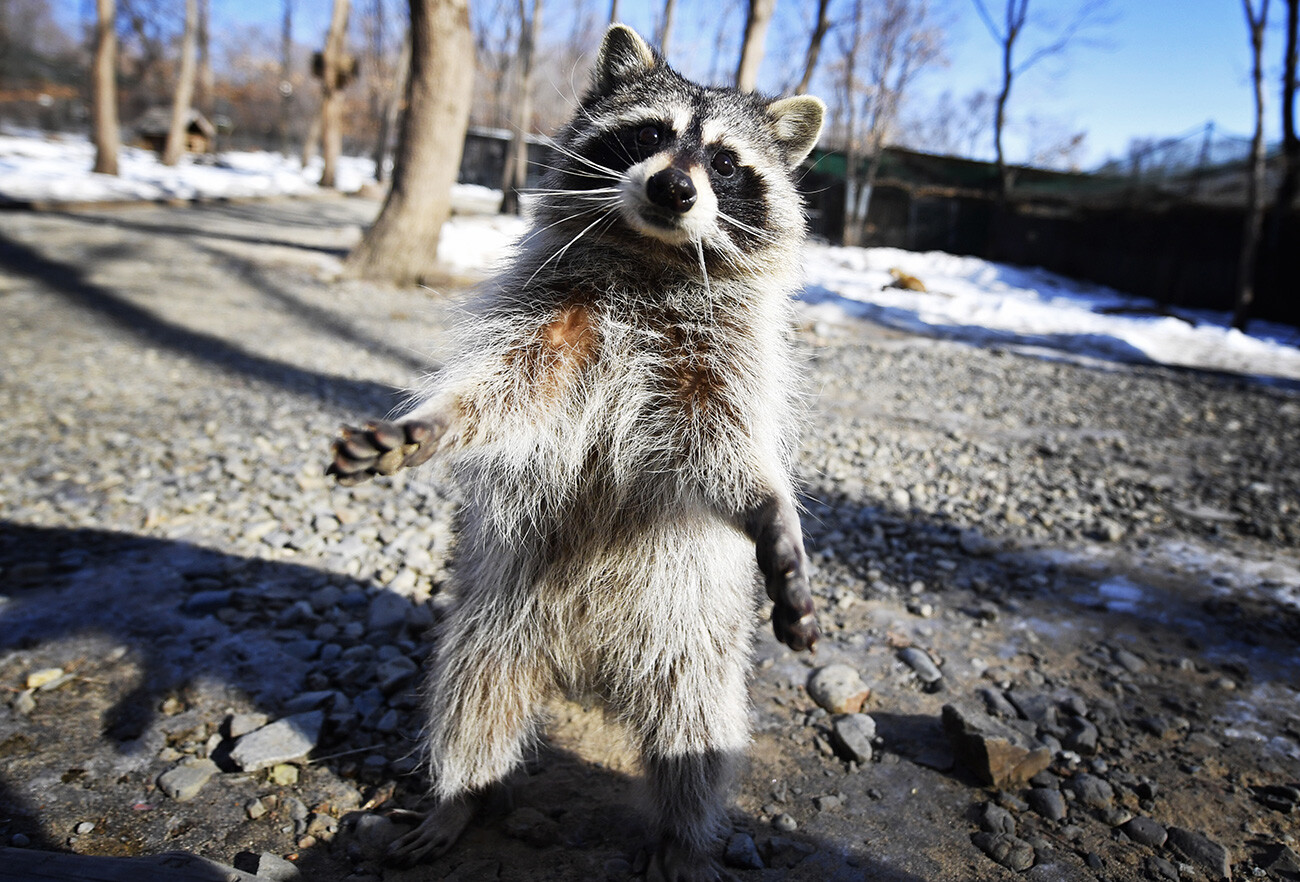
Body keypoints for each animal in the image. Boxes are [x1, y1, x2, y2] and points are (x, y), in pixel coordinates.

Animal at [330, 24, 826, 879]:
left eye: (726, 163)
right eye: (651, 135)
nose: (674, 189)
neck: (653, 260)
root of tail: (587, 667)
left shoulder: (719, 366)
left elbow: (725, 461)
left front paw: (772, 516)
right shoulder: (550, 322)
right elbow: (501, 396)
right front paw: (432, 425)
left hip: (690, 637)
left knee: (697, 736)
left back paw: (683, 838)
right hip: (497, 614)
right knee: (470, 699)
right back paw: (458, 798)